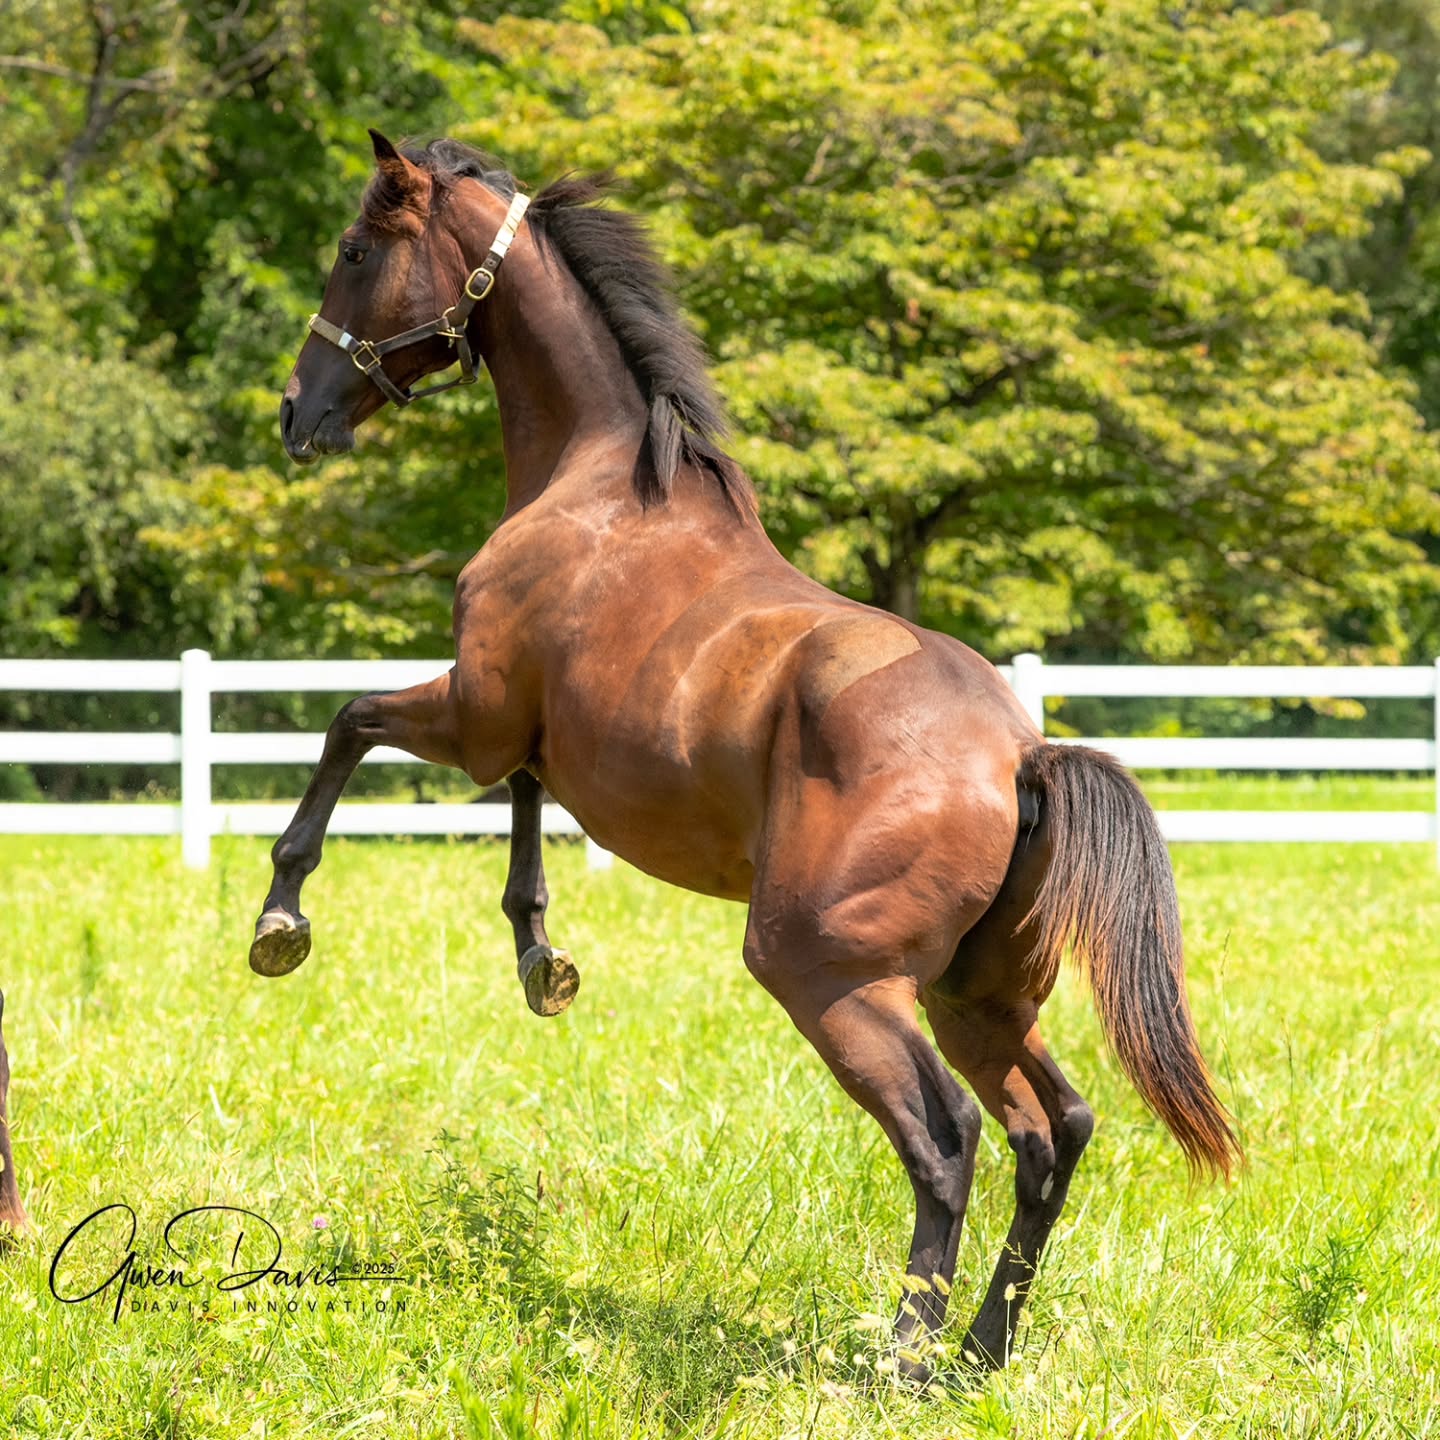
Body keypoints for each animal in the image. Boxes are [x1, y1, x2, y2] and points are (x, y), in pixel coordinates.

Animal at [257, 130, 1241, 1379]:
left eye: (353, 249)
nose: (297, 411)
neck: (602, 485)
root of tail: (1023, 759)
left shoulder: (473, 710)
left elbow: (349, 725)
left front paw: (281, 919)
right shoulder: (524, 731)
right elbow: (521, 798)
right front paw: (541, 956)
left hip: (828, 975)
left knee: (949, 1135)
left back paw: (903, 1356)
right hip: (977, 997)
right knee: (1051, 1130)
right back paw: (980, 1352)